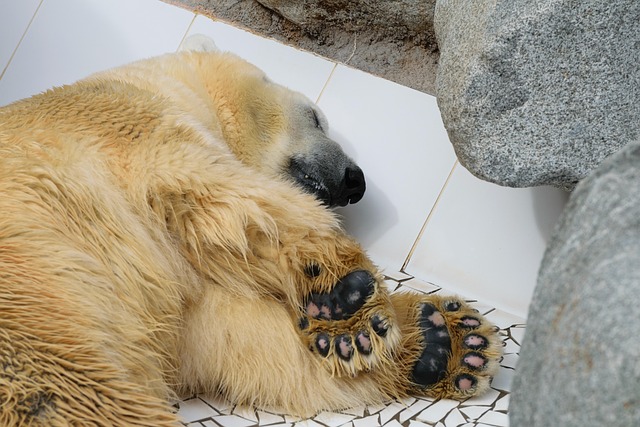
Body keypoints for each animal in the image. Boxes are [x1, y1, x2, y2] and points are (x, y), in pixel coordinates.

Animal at [0, 35, 502, 426]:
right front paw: (347, 299)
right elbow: (239, 199)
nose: (354, 180)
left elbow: (235, 334)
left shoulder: (179, 287)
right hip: (39, 314)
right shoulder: (133, 127)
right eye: (315, 117)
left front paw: (441, 339)